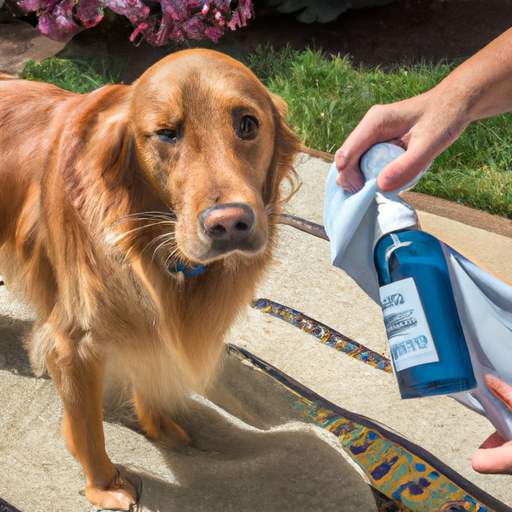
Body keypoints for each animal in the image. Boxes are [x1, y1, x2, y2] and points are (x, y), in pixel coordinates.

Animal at [0, 47, 300, 508]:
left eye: (247, 124)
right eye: (165, 133)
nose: (229, 223)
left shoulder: (149, 319)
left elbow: (151, 372)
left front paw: (157, 426)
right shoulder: (72, 342)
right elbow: (89, 428)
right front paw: (104, 484)